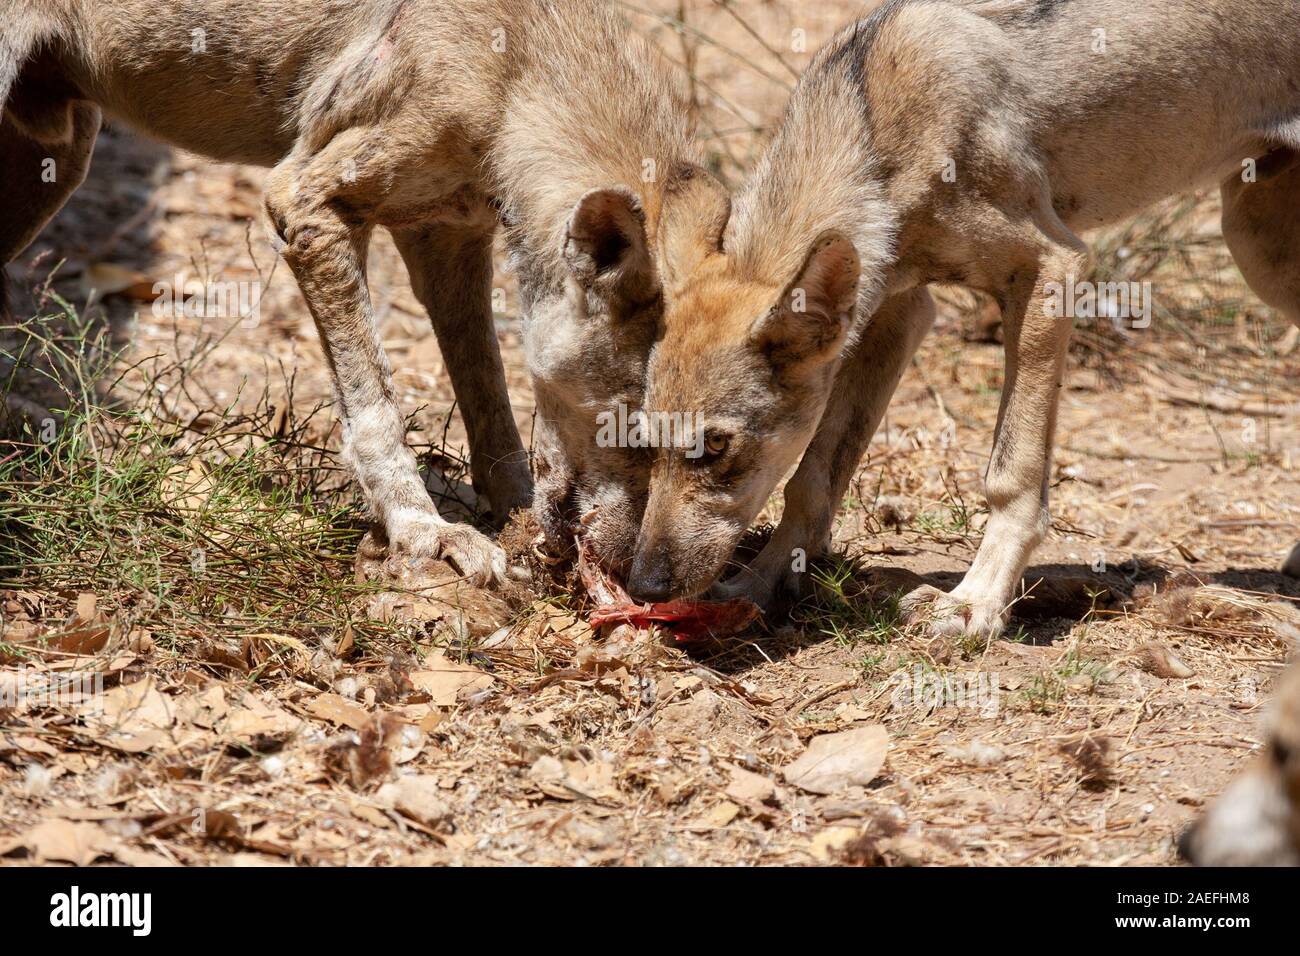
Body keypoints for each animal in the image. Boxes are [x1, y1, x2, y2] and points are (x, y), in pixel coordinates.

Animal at [0, 0, 728, 587]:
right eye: (633, 427)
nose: (629, 570)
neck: (517, 70)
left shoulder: (447, 239)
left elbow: (493, 411)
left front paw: (515, 515)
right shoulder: (306, 205)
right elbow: (376, 408)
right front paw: (423, 530)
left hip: (56, 165)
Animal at [618, 0, 1300, 642]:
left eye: (715, 447)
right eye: (647, 442)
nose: (642, 584)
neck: (874, 125)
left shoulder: (1051, 269)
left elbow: (1009, 475)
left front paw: (977, 603)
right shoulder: (899, 311)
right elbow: (814, 478)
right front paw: (761, 583)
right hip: (1257, 249)